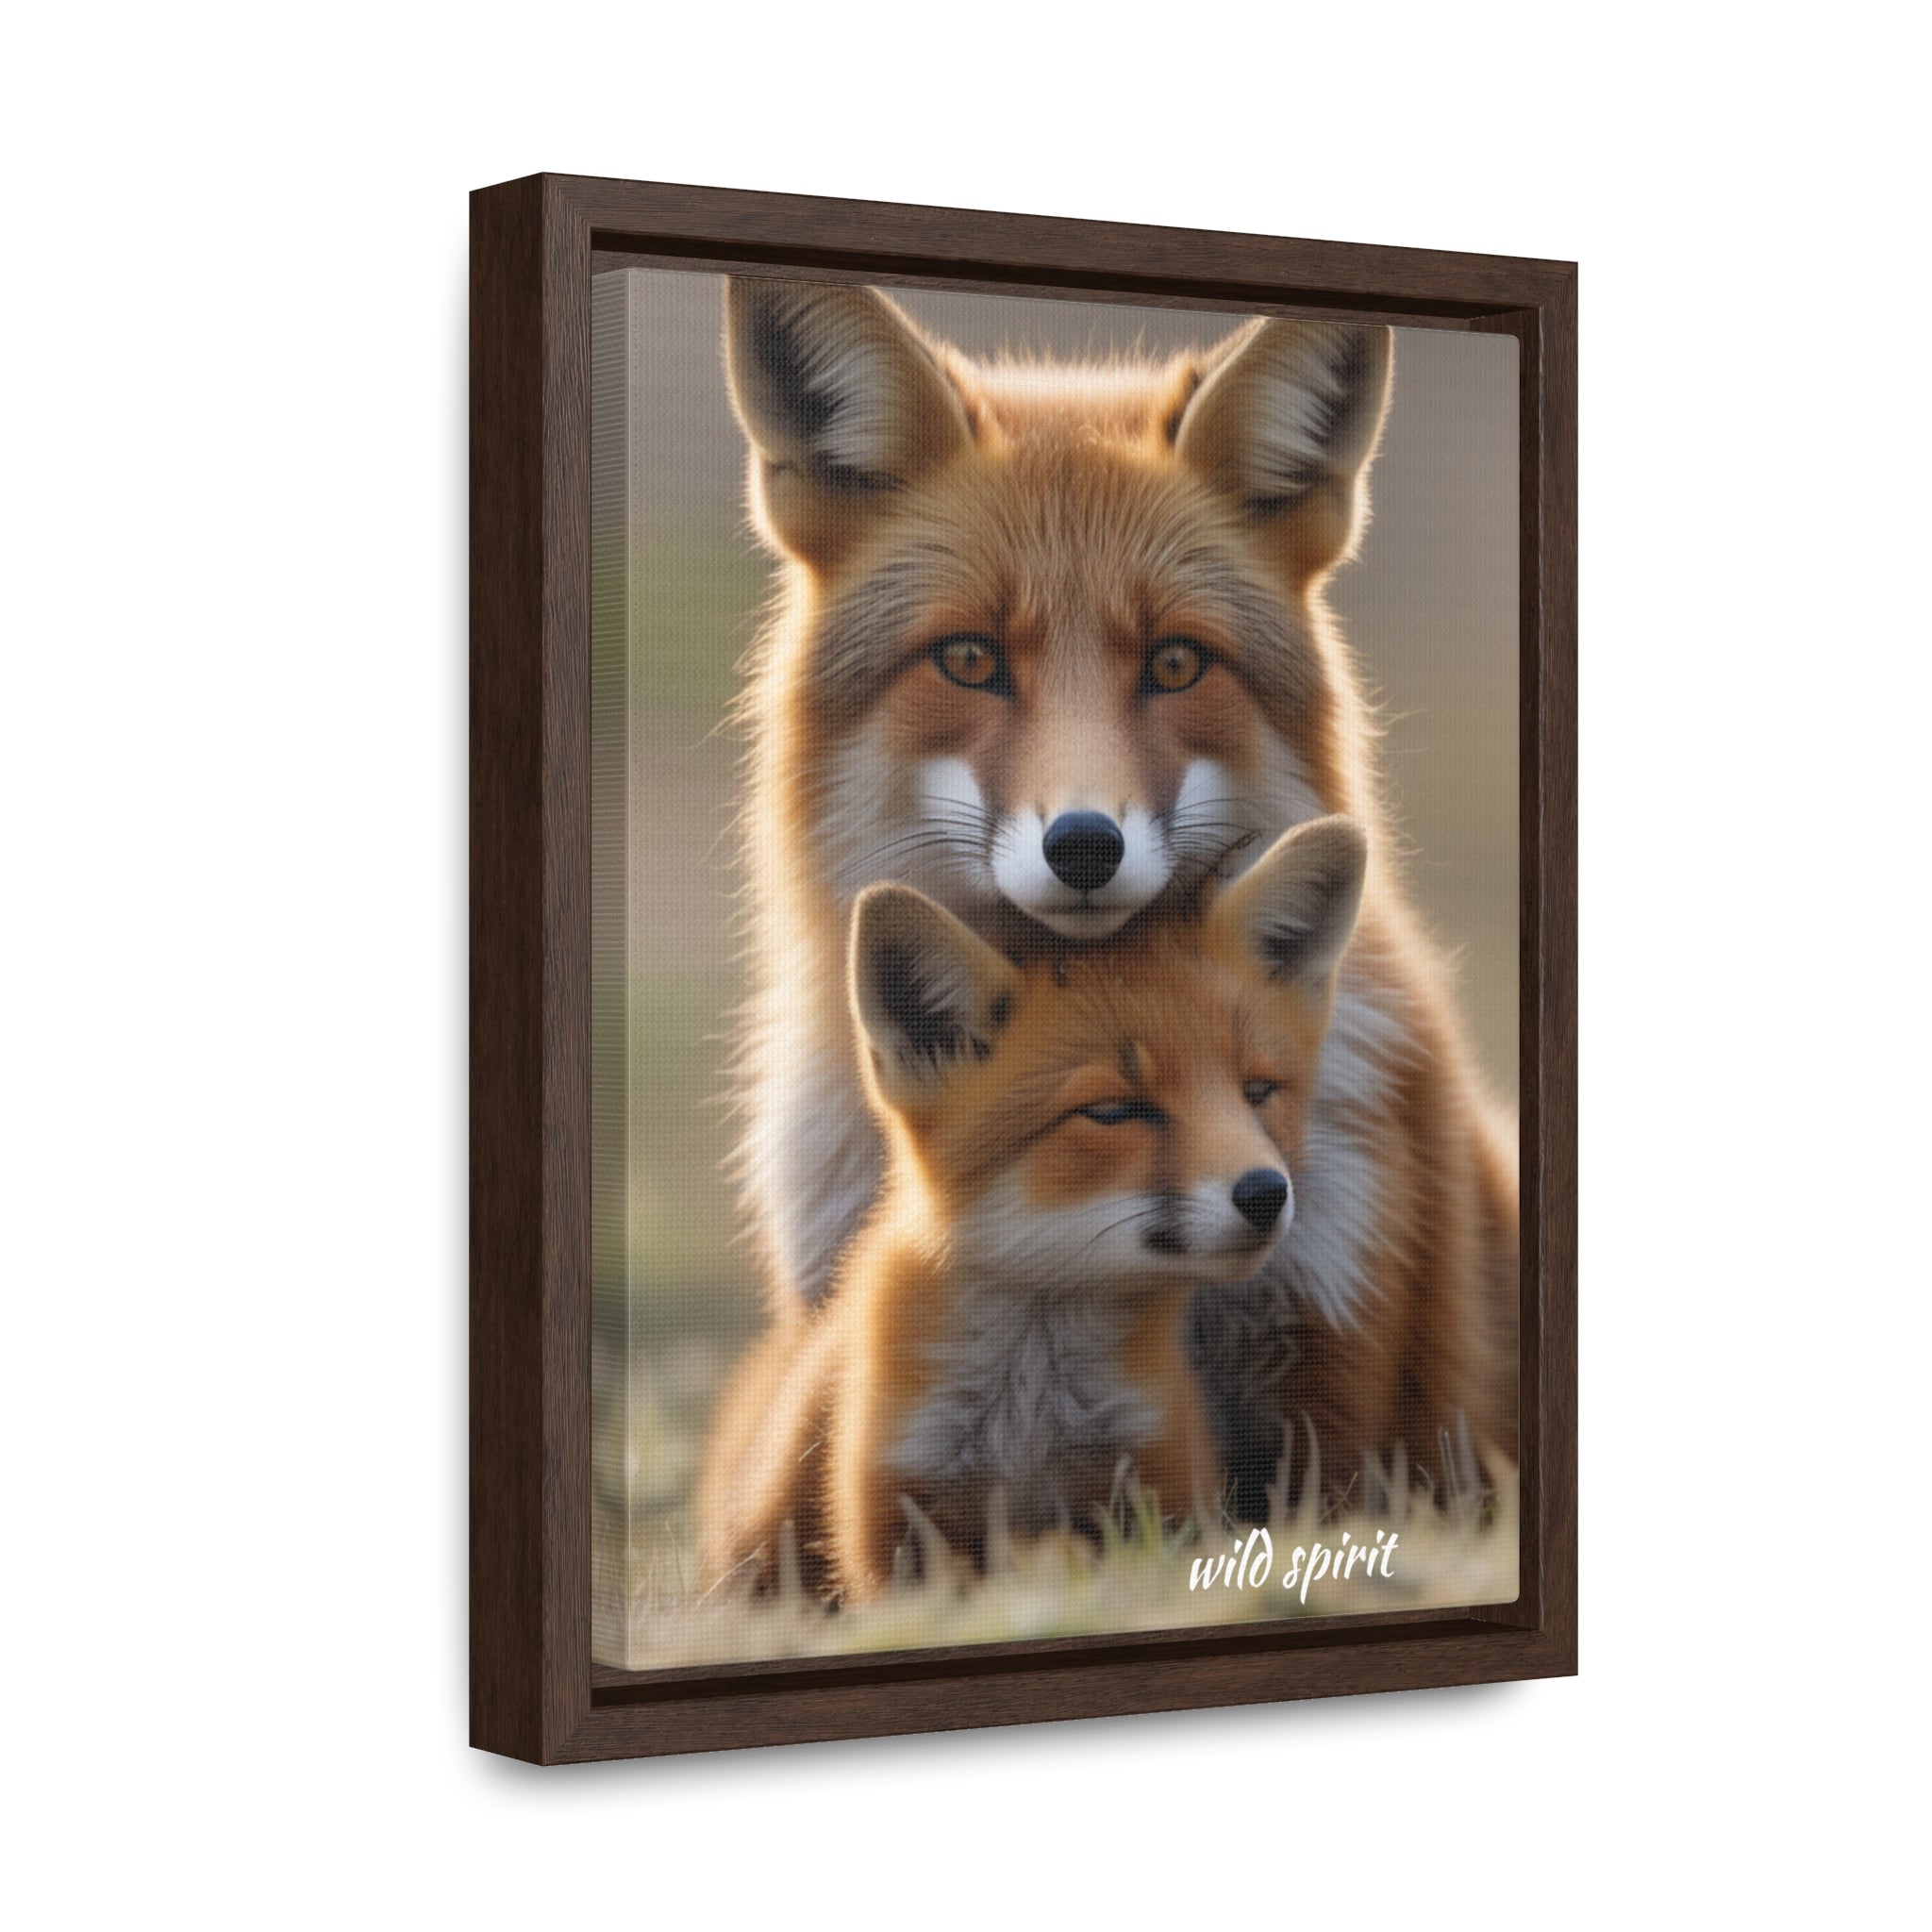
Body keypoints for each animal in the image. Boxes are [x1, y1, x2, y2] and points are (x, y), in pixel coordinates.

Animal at [700, 819, 1369, 1601]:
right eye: (1112, 1111)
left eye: (1258, 1092)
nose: (1266, 1193)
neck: (1030, 1415)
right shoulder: (894, 1521)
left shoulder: (1159, 1484)